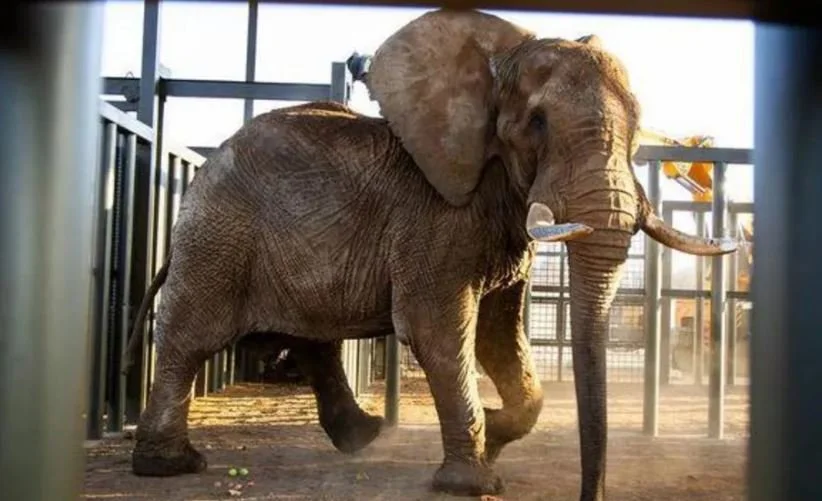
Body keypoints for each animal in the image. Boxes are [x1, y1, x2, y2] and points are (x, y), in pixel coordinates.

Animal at [122, 8, 737, 500]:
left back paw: (363, 437)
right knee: (190, 338)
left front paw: (494, 432)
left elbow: (498, 333)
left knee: (313, 337)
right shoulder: (435, 216)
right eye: (537, 123)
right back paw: (170, 467)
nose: (593, 495)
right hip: (218, 237)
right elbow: (438, 331)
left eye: (638, 126)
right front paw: (474, 480)